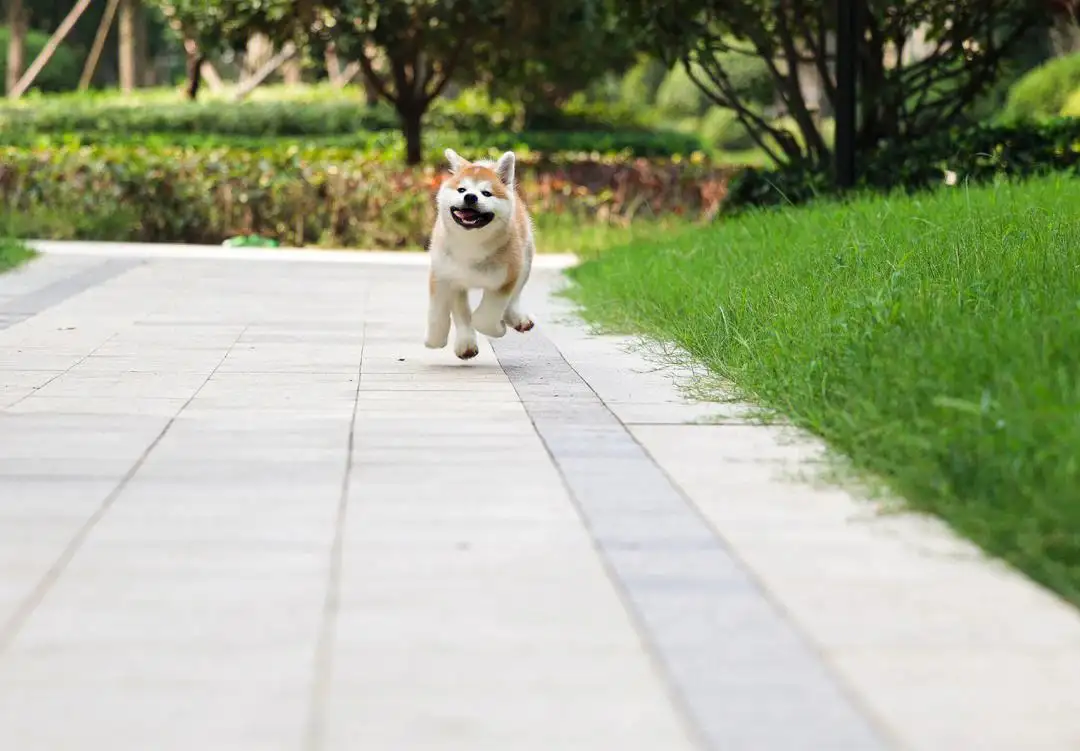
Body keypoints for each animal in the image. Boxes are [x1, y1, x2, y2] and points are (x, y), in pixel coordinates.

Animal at [425, 148, 535, 360]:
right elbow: (438, 312)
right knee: (461, 311)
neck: (471, 245)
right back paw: (465, 342)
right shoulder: (443, 275)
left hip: (525, 261)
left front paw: (498, 328)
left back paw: (515, 318)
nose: (470, 197)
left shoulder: (505, 277)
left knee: (515, 296)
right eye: (461, 190)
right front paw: (435, 339)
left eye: (486, 193)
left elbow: (486, 316)